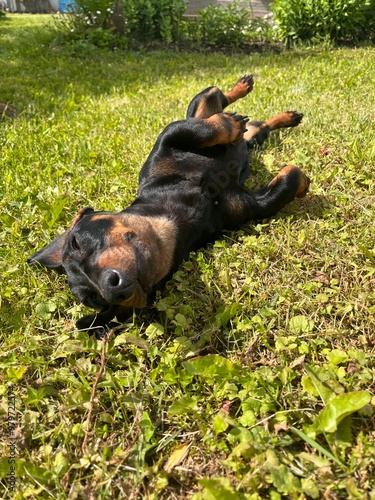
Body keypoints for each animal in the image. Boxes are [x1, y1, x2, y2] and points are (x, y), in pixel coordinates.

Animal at [27, 74, 312, 332]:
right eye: (96, 301)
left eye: (75, 241)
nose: (112, 288)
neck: (180, 213)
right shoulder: (252, 205)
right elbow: (290, 179)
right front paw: (305, 182)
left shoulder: (168, 141)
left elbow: (199, 129)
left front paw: (229, 124)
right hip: (253, 141)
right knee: (258, 127)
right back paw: (281, 118)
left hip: (201, 105)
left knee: (216, 100)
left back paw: (244, 95)